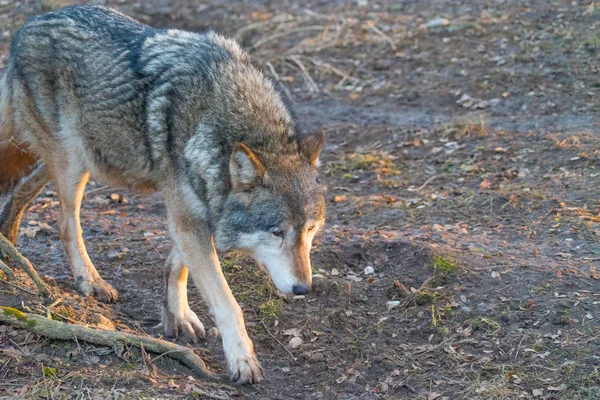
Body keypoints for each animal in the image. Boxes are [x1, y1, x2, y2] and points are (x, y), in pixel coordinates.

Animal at [0, 3, 326, 384]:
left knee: (21, 192)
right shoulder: (187, 215)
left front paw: (177, 316)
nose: (304, 289)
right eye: (277, 233)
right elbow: (226, 301)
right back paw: (89, 280)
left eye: (309, 231)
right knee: (67, 224)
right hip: (73, 164)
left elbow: (177, 266)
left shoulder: (194, 209)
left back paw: (10, 240)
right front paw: (243, 359)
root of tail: (27, 26)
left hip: (75, 158)